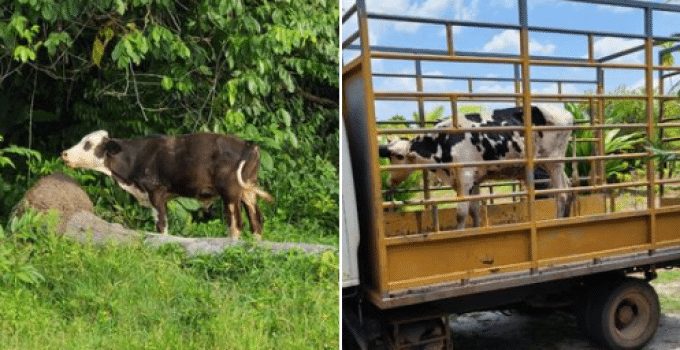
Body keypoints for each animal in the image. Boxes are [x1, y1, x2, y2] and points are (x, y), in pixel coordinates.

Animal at [61, 130, 272, 239]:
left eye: (88, 144)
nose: (64, 153)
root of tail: (248, 144)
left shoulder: (156, 192)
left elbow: (161, 225)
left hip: (230, 192)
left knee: (236, 224)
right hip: (247, 191)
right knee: (257, 220)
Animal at [380, 104, 572, 230]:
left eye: (399, 156)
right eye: (389, 157)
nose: (390, 181)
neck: (443, 141)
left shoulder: (464, 177)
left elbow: (461, 212)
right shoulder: (472, 180)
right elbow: (474, 210)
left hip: (553, 162)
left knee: (561, 194)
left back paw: (558, 222)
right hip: (552, 165)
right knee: (569, 188)